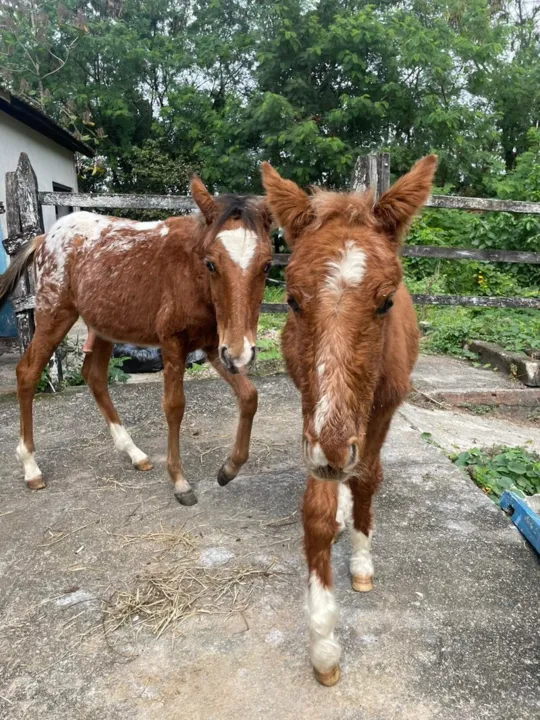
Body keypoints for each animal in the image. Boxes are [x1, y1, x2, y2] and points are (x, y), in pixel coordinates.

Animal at [0, 179, 272, 506]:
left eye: (267, 265)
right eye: (211, 264)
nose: (241, 354)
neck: (190, 272)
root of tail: (43, 237)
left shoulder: (212, 345)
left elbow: (249, 396)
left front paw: (228, 469)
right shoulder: (173, 342)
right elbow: (174, 406)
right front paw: (180, 482)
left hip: (104, 326)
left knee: (94, 376)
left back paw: (134, 453)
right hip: (54, 315)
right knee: (27, 373)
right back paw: (31, 467)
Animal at [262, 156, 438, 688]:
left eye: (385, 301)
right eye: (292, 300)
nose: (336, 450)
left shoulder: (379, 414)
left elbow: (367, 481)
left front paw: (361, 561)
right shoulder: (313, 420)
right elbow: (317, 511)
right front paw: (323, 644)